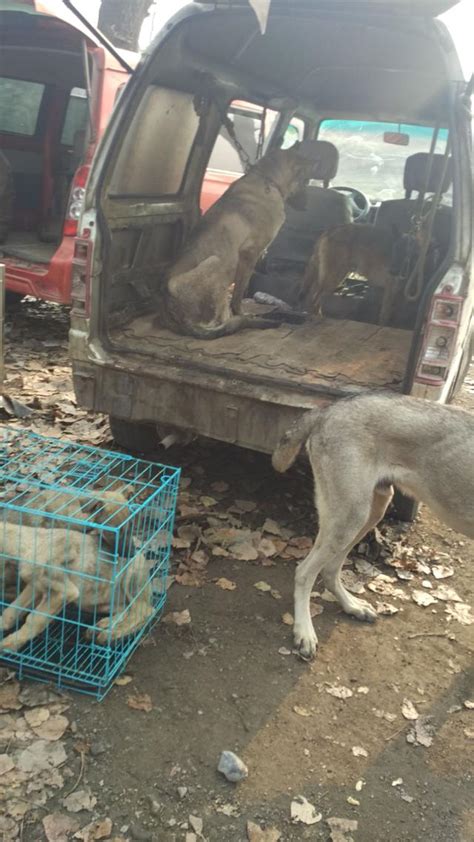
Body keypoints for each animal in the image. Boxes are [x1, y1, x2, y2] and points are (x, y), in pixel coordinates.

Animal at [0, 486, 156, 648]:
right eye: (115, 533)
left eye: (131, 528)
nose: (131, 554)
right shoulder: (38, 584)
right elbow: (14, 610)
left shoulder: (61, 589)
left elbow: (34, 619)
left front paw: (10, 643)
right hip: (94, 601)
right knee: (127, 608)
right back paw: (103, 626)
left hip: (131, 579)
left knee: (145, 611)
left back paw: (111, 635)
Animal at [154, 139, 320, 336]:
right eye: (305, 180)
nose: (308, 205)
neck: (268, 179)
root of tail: (175, 315)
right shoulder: (250, 253)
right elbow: (240, 291)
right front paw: (242, 312)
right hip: (217, 261)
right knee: (224, 319)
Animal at [272, 390, 474, 660]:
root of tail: (328, 410)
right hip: (351, 516)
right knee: (304, 572)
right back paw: (304, 631)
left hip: (369, 513)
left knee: (330, 570)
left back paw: (352, 606)